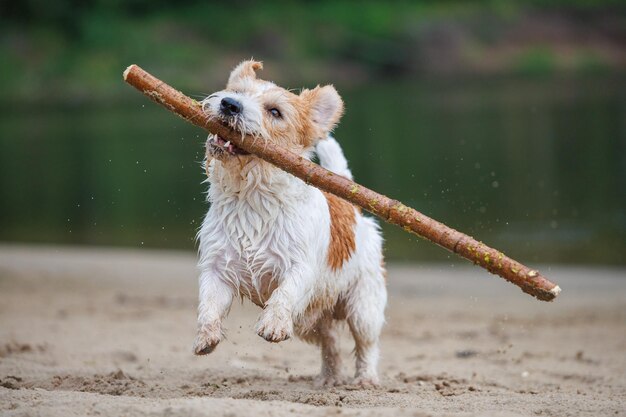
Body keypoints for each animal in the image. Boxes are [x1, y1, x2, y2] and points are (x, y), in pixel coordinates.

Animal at [193, 59, 386, 386]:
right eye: (236, 92)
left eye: (275, 112)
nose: (229, 104)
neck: (251, 197)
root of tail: (352, 206)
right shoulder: (217, 269)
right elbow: (208, 304)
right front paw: (206, 335)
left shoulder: (301, 267)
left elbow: (285, 293)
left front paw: (273, 324)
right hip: (312, 322)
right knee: (331, 342)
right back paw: (328, 379)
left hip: (363, 307)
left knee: (367, 344)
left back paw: (366, 378)